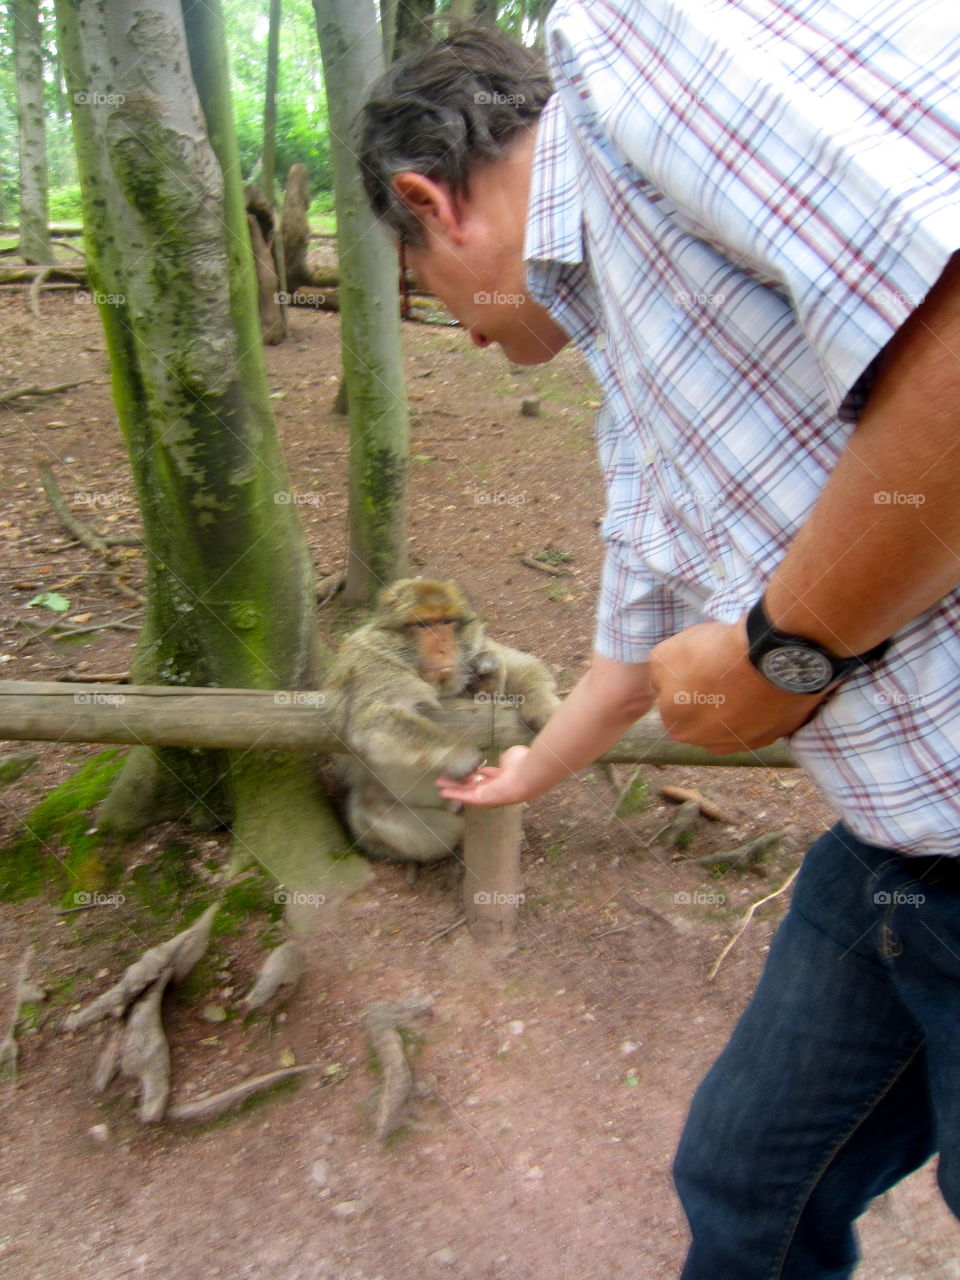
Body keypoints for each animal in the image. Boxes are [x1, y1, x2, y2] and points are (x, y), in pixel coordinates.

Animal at [325, 583, 563, 865]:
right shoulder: (369, 662)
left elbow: (521, 665)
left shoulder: (477, 645)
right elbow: (373, 720)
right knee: (374, 815)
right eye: (424, 625)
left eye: (447, 622)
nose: (442, 648)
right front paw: (460, 755)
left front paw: (540, 704)